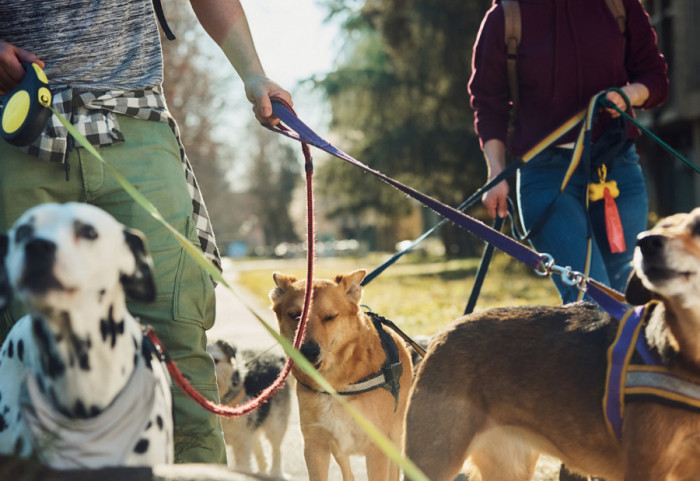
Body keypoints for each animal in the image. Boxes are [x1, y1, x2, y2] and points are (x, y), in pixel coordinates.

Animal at [266, 270, 410, 480]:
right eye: (295, 316)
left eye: (330, 317)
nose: (309, 352)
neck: (334, 384)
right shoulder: (316, 445)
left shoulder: (377, 449)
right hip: (338, 447)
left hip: (395, 439)